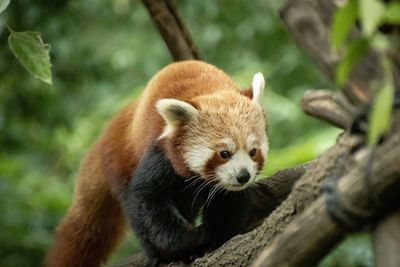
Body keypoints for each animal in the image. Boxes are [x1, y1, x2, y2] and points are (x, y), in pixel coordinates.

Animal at [44, 61, 268, 267]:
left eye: (253, 151)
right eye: (224, 153)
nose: (243, 176)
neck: (209, 90)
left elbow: (228, 205)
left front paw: (214, 241)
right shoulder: (161, 154)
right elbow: (147, 200)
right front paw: (188, 242)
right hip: (121, 161)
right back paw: (158, 256)